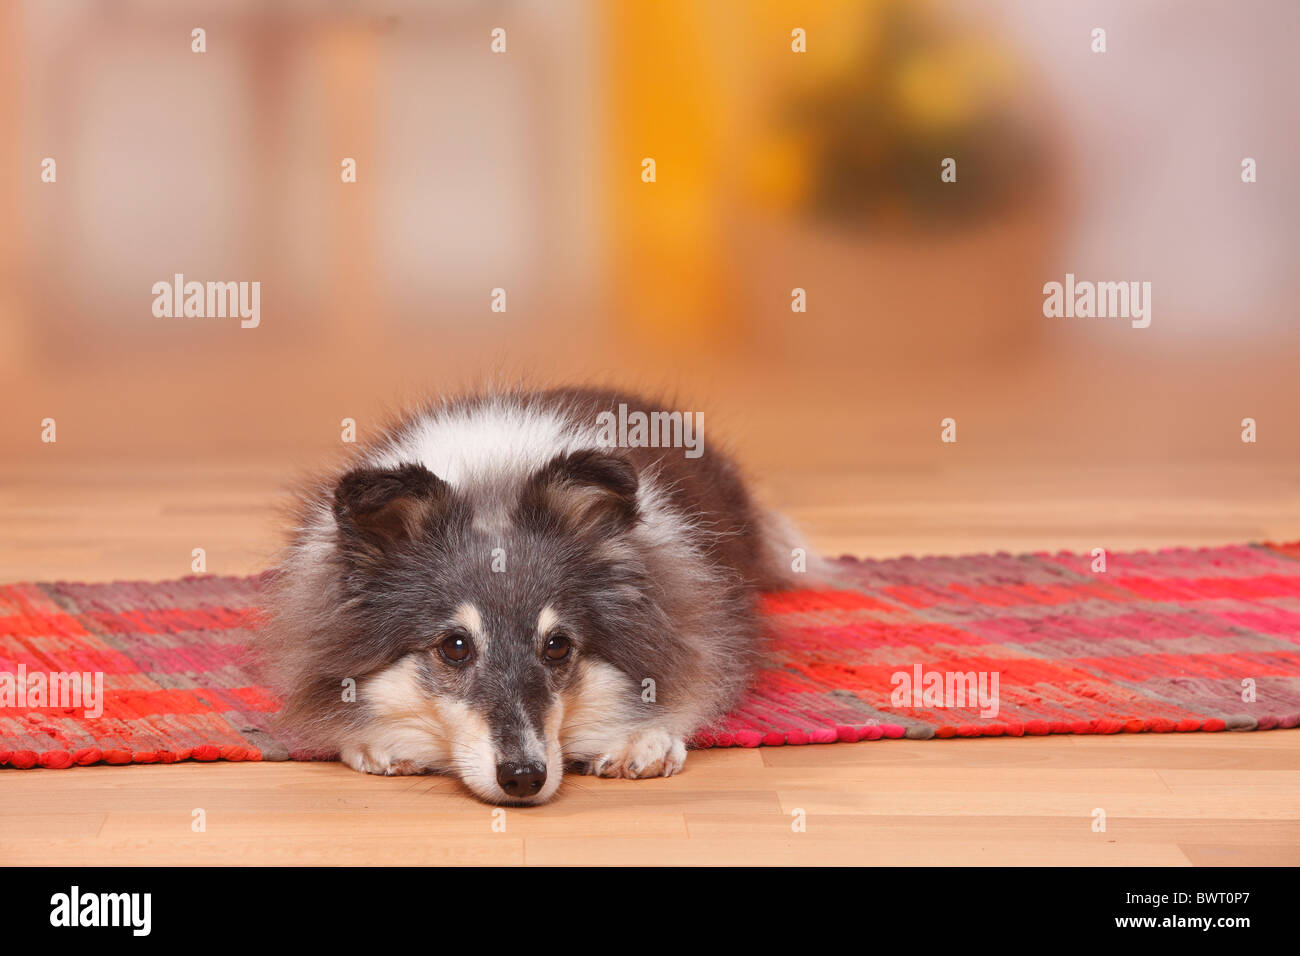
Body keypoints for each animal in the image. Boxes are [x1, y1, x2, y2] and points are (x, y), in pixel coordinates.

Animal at [256, 385, 800, 806]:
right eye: (455, 647)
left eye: (557, 645)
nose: (523, 779)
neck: (490, 480)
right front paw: (377, 744)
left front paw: (641, 743)